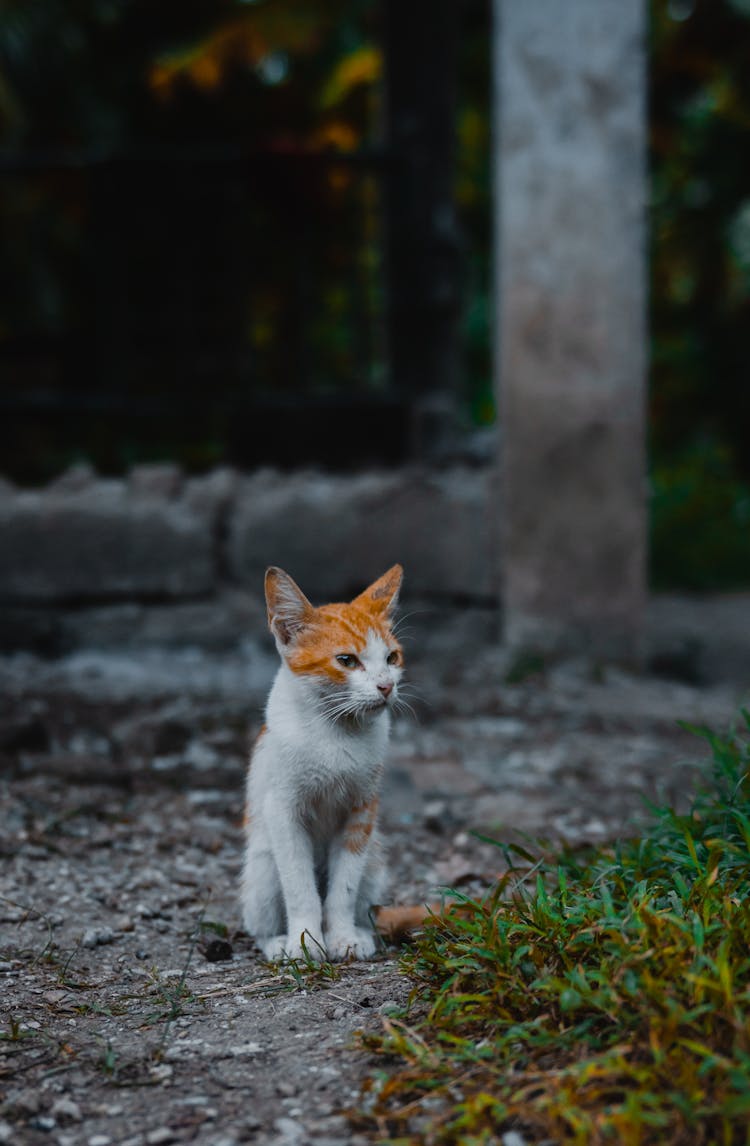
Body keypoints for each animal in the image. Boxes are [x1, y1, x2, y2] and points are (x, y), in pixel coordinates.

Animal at [240, 563, 405, 958]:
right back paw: (277, 943)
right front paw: (304, 942)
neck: (336, 731)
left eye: (391, 658)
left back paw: (363, 932)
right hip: (262, 867)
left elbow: (342, 888)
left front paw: (343, 937)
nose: (386, 686)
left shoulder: (362, 811)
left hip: (375, 863)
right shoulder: (282, 810)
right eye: (346, 660)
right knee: (258, 922)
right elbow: (300, 887)